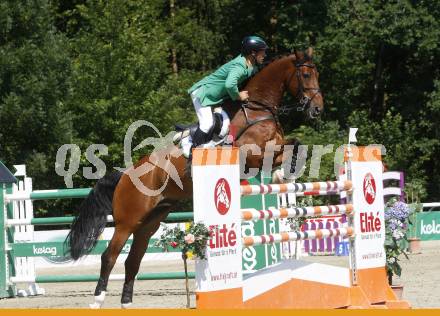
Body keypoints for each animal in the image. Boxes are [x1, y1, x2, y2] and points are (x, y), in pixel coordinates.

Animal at [66, 47, 324, 308]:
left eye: (316, 74)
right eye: (305, 74)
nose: (317, 110)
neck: (256, 109)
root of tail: (125, 175)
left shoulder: (275, 147)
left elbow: (296, 144)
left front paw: (285, 173)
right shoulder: (249, 155)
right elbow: (277, 152)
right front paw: (281, 174)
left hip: (150, 221)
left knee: (133, 259)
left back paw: (126, 302)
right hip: (128, 221)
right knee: (109, 256)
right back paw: (97, 299)